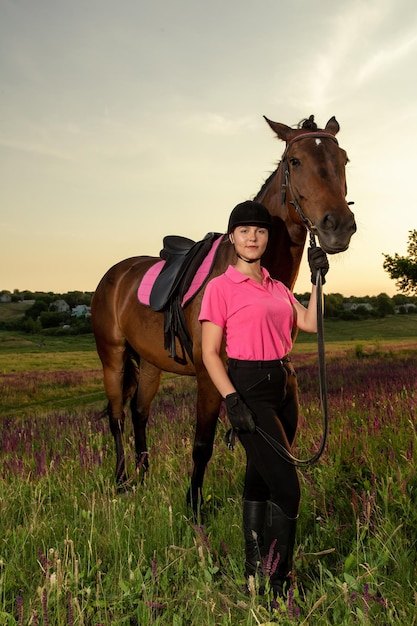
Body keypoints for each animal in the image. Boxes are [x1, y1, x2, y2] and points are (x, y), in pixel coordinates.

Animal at [91, 114, 354, 510]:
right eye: (295, 161)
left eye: (344, 160)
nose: (338, 226)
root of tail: (115, 274)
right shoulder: (209, 378)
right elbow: (202, 446)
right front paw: (194, 508)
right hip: (113, 358)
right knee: (118, 417)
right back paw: (122, 481)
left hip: (150, 364)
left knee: (139, 413)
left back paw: (143, 477)